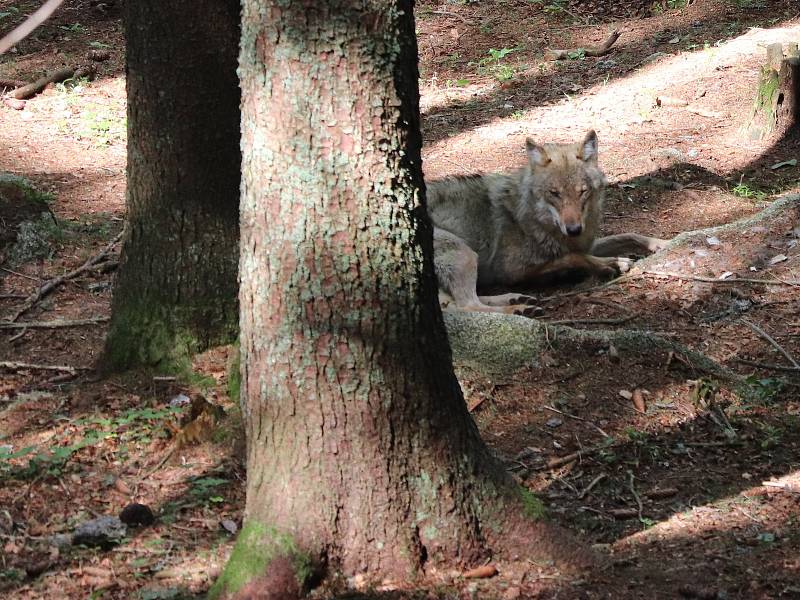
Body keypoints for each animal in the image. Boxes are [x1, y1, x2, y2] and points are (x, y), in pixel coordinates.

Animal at [432, 130, 668, 314]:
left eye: (582, 192)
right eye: (554, 193)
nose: (574, 229)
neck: (533, 219)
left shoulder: (584, 242)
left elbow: (628, 235)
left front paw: (661, 244)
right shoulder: (513, 270)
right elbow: (575, 257)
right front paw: (611, 263)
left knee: (456, 304)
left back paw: (516, 299)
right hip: (464, 254)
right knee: (466, 306)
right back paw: (518, 309)